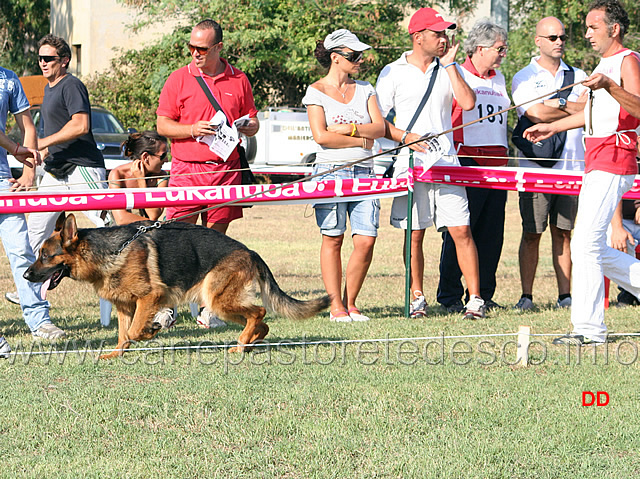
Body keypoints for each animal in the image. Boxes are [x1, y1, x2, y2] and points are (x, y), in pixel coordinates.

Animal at [25, 215, 330, 360]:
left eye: (45, 256)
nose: (26, 275)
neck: (110, 252)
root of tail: (250, 251)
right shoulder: (124, 306)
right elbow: (123, 335)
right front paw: (117, 353)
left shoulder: (149, 297)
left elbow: (134, 330)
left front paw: (151, 331)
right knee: (260, 321)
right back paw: (250, 341)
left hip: (217, 299)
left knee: (258, 313)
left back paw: (242, 343)